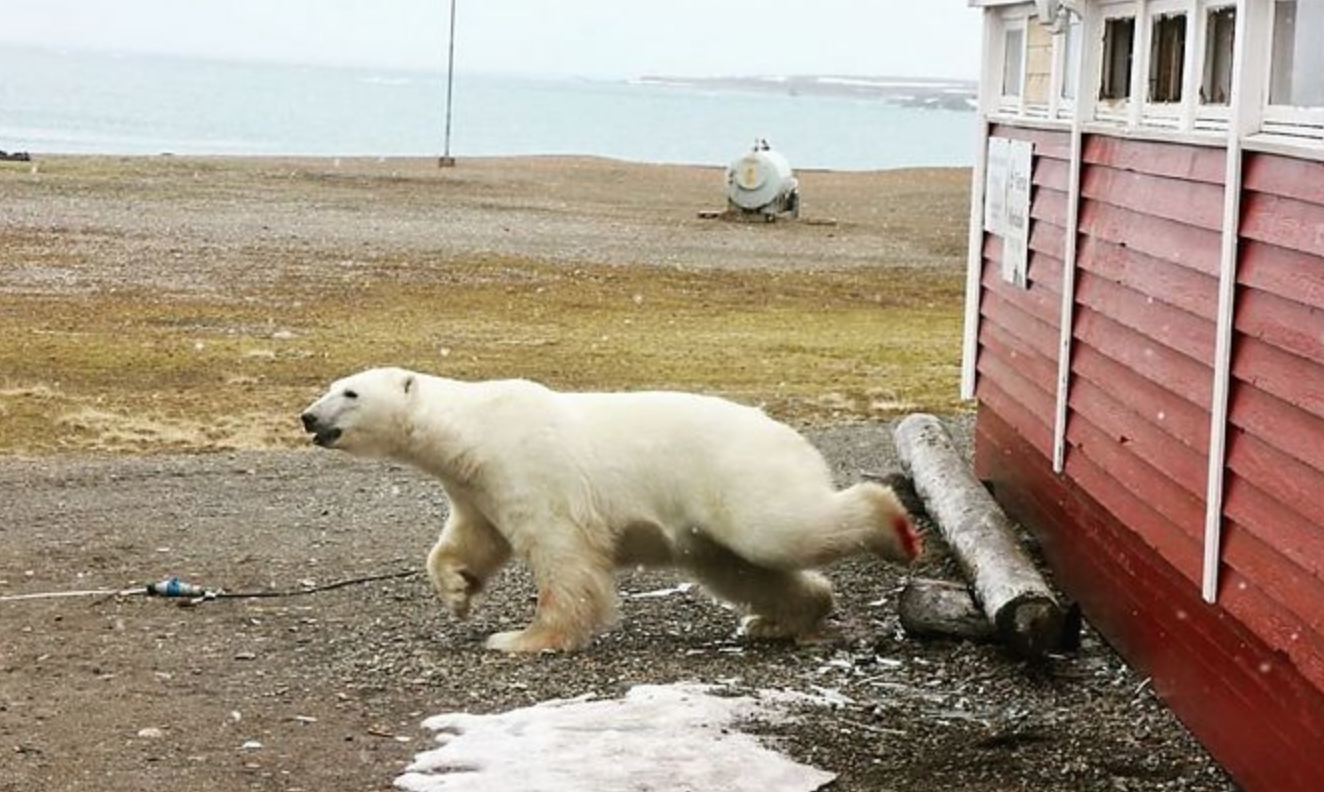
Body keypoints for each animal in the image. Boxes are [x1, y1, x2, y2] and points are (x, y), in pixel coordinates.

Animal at [303, 368, 921, 654]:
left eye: (351, 393)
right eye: (331, 386)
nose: (308, 416)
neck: (474, 430)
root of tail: (789, 434)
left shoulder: (532, 467)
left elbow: (564, 558)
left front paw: (523, 639)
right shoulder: (479, 486)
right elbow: (472, 539)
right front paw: (457, 592)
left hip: (736, 477)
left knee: (776, 531)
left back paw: (897, 528)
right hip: (701, 529)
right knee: (739, 568)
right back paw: (775, 619)